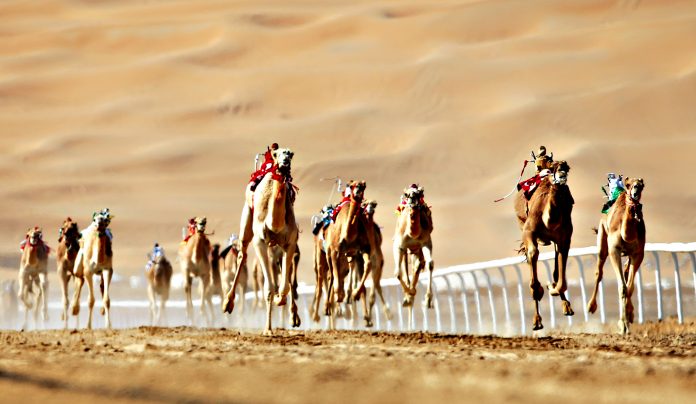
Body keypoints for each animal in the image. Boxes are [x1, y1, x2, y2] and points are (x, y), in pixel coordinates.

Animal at [224, 148, 298, 334]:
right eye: (277, 154)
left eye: (291, 154)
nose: (285, 161)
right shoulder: (260, 242)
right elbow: (269, 287)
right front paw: (268, 330)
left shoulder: (290, 243)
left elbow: (284, 286)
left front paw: (280, 299)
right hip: (247, 222)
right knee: (242, 254)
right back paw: (228, 303)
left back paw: (294, 316)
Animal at [512, 159, 572, 330]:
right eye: (552, 169)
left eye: (567, 168)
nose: (562, 175)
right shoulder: (528, 232)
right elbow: (533, 253)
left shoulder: (565, 237)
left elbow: (560, 279)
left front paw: (551, 288)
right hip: (523, 226)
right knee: (532, 254)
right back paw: (537, 321)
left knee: (556, 269)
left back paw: (566, 307)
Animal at [588, 178, 648, 332]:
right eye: (628, 185)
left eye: (642, 186)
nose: (635, 191)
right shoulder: (614, 250)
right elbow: (622, 287)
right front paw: (623, 325)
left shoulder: (638, 253)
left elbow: (630, 287)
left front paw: (629, 318)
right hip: (603, 241)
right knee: (599, 272)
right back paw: (591, 306)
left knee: (626, 273)